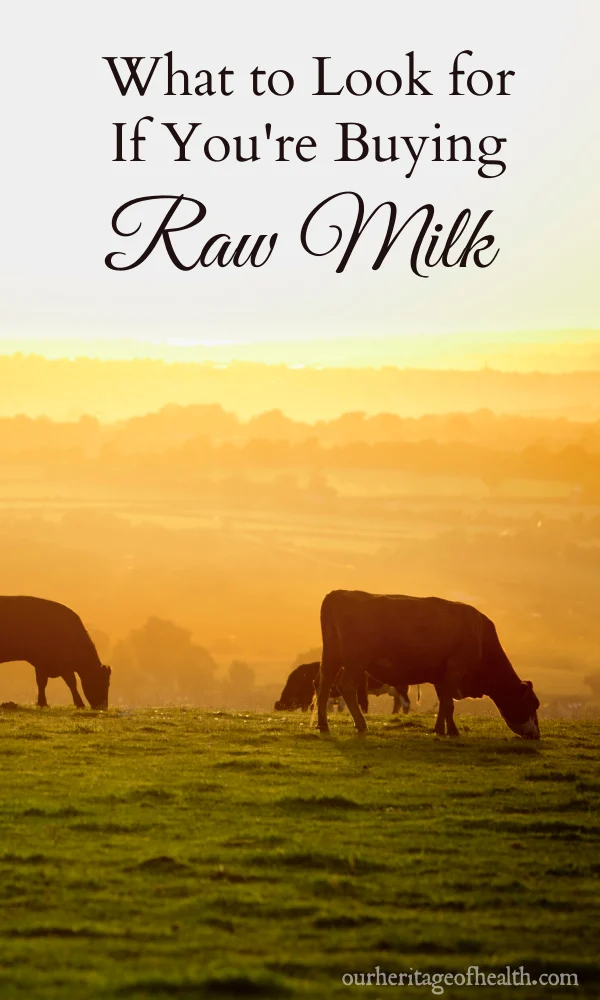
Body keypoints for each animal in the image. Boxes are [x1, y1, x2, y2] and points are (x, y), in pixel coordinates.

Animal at [314, 588, 540, 740]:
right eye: (532, 704)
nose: (536, 735)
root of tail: (340, 593)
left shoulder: (441, 675)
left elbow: (444, 703)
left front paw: (443, 730)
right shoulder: (456, 667)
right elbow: (448, 703)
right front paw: (450, 732)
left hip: (332, 656)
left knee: (323, 686)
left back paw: (323, 725)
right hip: (356, 660)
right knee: (345, 686)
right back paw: (361, 724)